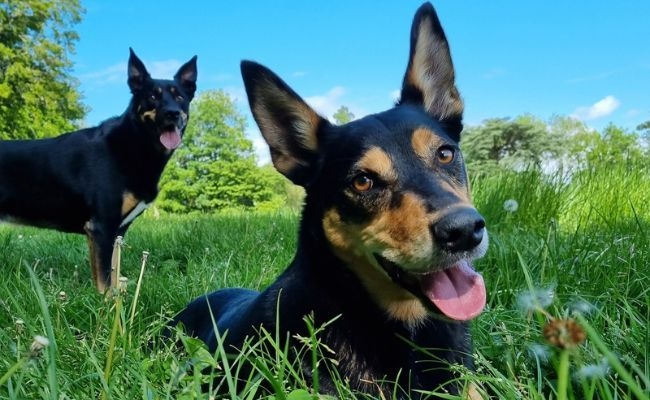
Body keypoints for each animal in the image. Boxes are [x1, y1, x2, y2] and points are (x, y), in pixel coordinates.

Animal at [0, 49, 197, 294]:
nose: (173, 113)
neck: (133, 144)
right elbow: (104, 279)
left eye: (180, 97)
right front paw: (107, 303)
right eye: (152, 96)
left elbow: (110, 273)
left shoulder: (113, 232)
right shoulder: (102, 227)